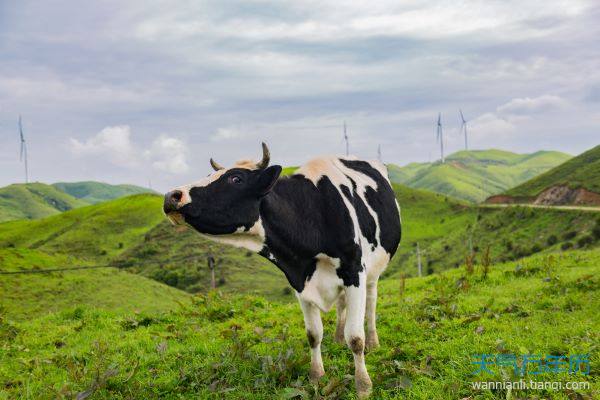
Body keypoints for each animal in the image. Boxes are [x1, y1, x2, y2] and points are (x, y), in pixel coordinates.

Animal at [162, 143, 400, 396]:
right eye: (210, 175)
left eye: (236, 178)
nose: (171, 196)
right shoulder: (300, 279)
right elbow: (313, 335)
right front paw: (316, 376)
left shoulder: (354, 270)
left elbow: (355, 337)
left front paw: (363, 385)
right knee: (342, 303)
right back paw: (337, 337)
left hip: (373, 270)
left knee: (371, 303)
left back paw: (373, 341)